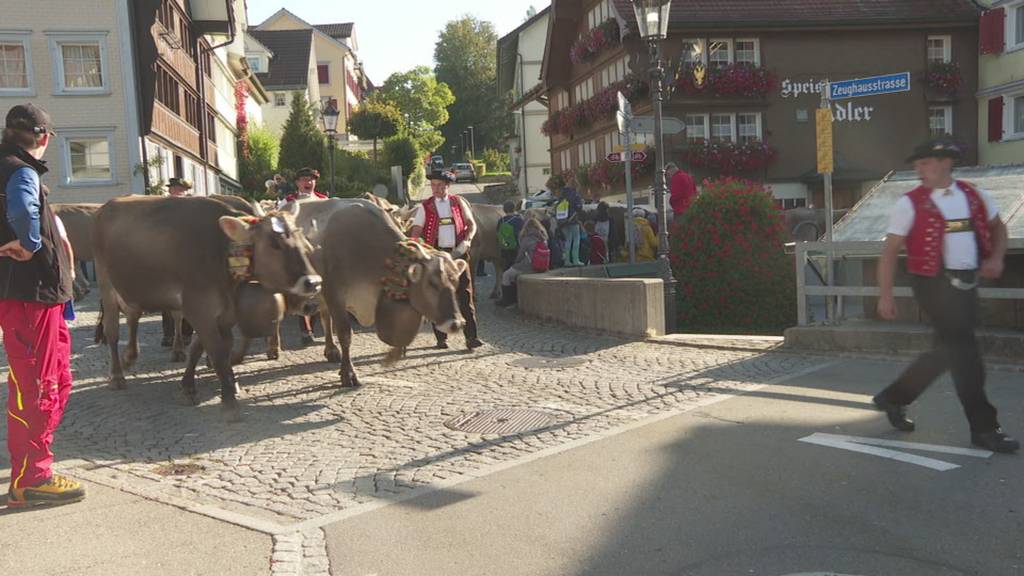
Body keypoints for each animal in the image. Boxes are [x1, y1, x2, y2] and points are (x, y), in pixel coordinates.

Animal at [95, 194, 321, 420]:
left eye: (306, 245)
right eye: (275, 244)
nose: (314, 284)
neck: (221, 252)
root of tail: (110, 203)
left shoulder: (226, 313)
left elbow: (204, 348)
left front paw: (191, 387)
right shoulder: (199, 309)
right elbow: (217, 352)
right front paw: (229, 402)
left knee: (133, 315)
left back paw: (129, 357)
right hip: (106, 284)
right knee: (112, 332)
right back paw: (116, 376)